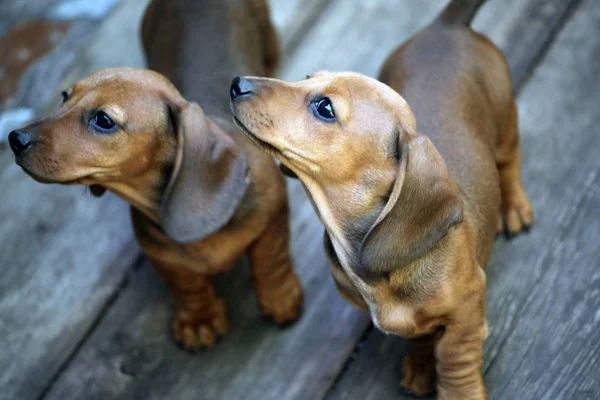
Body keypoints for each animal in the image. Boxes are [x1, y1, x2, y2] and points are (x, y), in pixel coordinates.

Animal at [7, 0, 302, 352]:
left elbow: (271, 261)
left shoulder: (273, 217)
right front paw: (199, 319)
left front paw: (280, 298)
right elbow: (187, 282)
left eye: (103, 120)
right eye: (65, 96)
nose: (14, 139)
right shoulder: (162, 255)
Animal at [232, 0, 532, 396]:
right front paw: (421, 363)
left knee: (510, 159)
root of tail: (447, 25)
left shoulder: (467, 313)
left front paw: (459, 390)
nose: (237, 84)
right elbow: (422, 336)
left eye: (324, 108)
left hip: (504, 120)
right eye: (308, 76)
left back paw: (513, 207)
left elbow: (455, 359)